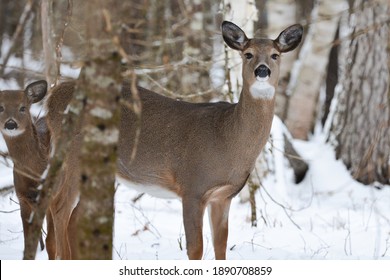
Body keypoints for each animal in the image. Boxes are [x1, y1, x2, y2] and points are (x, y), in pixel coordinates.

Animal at [47, 20, 304, 260]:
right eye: (248, 53)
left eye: (275, 55)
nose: (262, 70)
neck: (228, 138)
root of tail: (52, 98)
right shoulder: (192, 187)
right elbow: (195, 248)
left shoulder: (223, 196)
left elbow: (220, 246)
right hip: (75, 154)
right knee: (59, 207)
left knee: (75, 216)